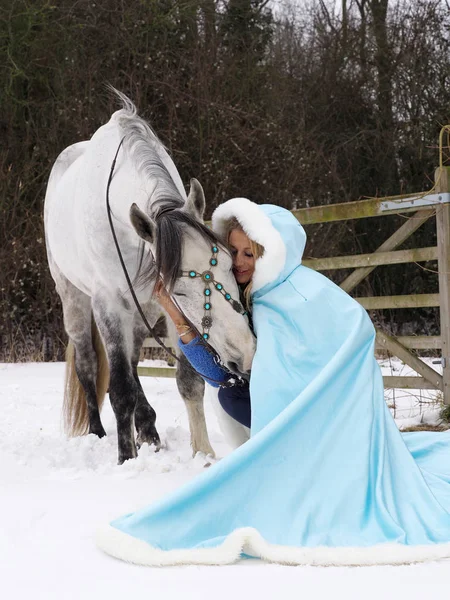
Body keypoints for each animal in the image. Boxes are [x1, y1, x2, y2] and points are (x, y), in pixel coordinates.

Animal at [45, 91, 256, 464]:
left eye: (231, 264)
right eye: (180, 290)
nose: (244, 352)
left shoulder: (165, 310)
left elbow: (188, 381)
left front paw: (203, 454)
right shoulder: (110, 305)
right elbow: (120, 389)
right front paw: (125, 458)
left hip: (142, 311)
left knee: (132, 362)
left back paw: (148, 431)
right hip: (74, 299)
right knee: (88, 364)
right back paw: (99, 433)